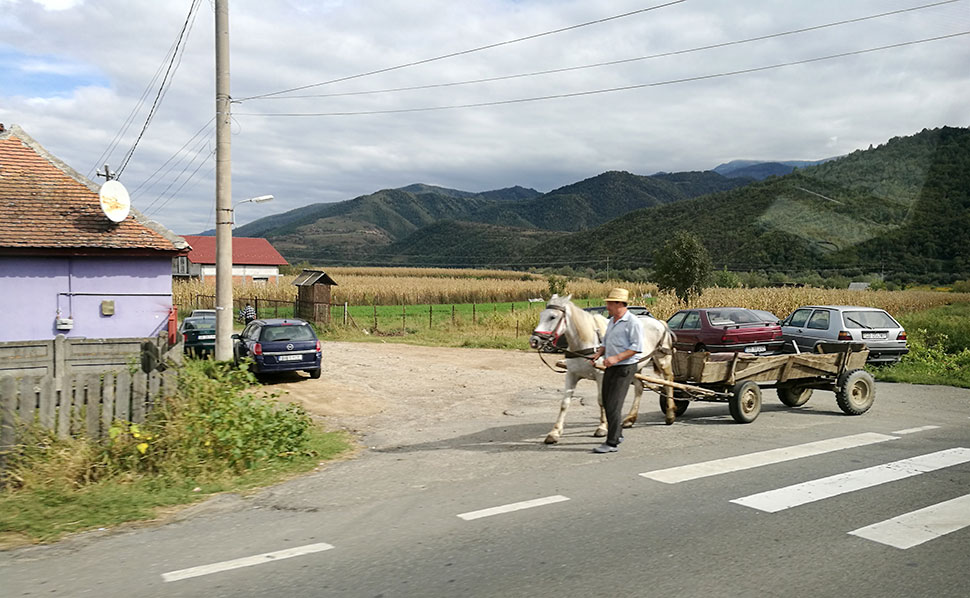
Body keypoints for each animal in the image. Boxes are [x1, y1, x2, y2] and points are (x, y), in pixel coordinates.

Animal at [528, 296, 672, 446]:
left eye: (552, 317)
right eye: (541, 315)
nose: (534, 340)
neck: (586, 343)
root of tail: (660, 322)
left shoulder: (601, 375)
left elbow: (601, 400)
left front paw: (602, 427)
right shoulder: (571, 375)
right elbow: (564, 403)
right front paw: (554, 432)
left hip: (663, 360)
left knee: (669, 382)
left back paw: (670, 414)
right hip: (635, 367)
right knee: (639, 387)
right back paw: (630, 419)